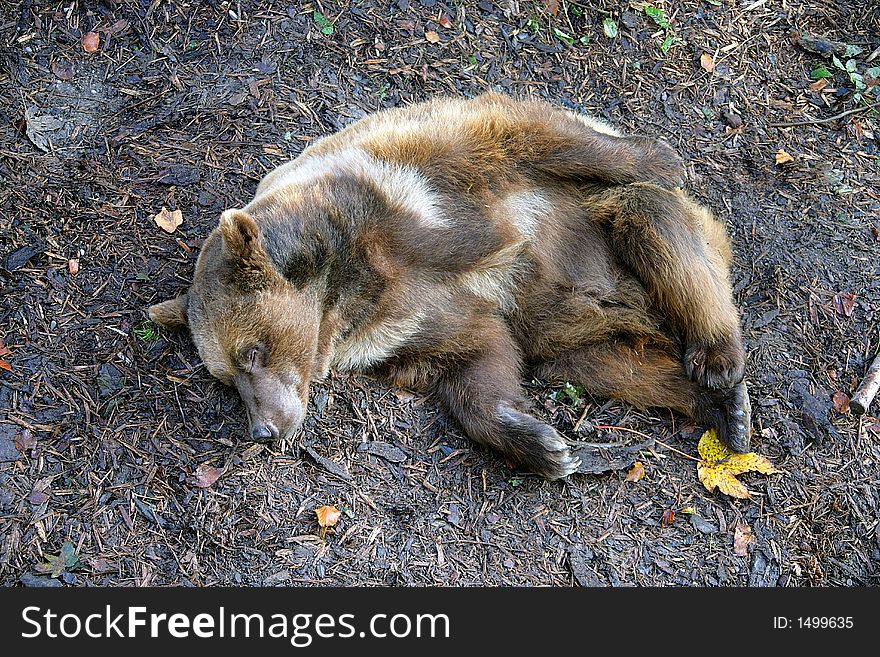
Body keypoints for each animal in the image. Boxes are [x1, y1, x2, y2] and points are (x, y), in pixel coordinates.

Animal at [150, 92, 748, 480]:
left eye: (251, 351)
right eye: (226, 378)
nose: (264, 429)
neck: (343, 287)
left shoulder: (420, 177)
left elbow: (529, 132)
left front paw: (661, 156)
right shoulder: (403, 327)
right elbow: (477, 356)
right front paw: (547, 446)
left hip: (625, 235)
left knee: (653, 220)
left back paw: (718, 362)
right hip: (574, 338)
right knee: (619, 369)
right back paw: (723, 408)